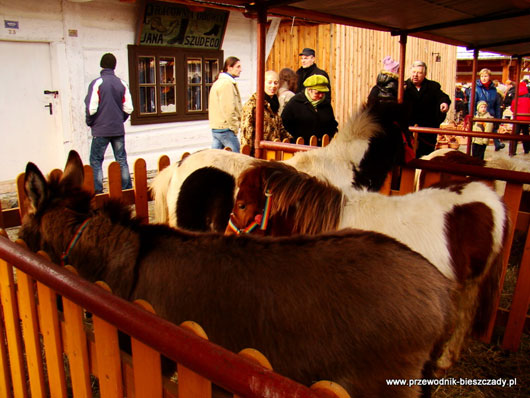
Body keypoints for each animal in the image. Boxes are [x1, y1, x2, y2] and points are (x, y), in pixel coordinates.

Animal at [225, 160, 506, 372]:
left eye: (242, 205)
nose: (226, 237)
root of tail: (488, 195)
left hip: (473, 283)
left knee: (464, 318)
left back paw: (445, 360)